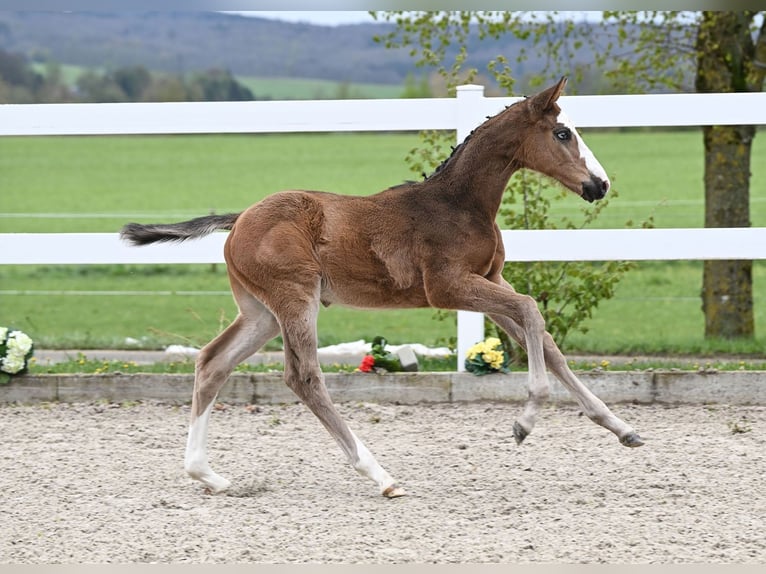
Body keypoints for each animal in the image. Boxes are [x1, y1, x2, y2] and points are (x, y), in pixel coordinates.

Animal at [121, 76, 648, 500]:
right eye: (562, 133)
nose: (599, 185)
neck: (459, 204)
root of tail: (239, 220)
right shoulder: (449, 287)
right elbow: (533, 310)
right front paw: (524, 422)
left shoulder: (488, 279)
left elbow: (547, 341)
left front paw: (623, 429)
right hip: (296, 299)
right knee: (303, 376)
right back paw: (381, 475)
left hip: (261, 312)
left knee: (213, 362)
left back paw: (207, 475)